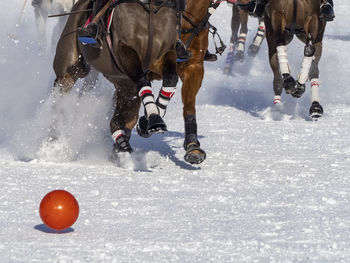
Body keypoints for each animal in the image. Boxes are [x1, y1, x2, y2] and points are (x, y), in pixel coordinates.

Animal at [52, 0, 180, 158]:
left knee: (118, 120)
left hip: (123, 84)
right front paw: (154, 118)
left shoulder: (166, 52)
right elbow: (143, 80)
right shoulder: (125, 50)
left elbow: (171, 79)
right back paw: (53, 141)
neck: (151, 7)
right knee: (59, 98)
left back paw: (122, 144)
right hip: (69, 63)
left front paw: (151, 119)